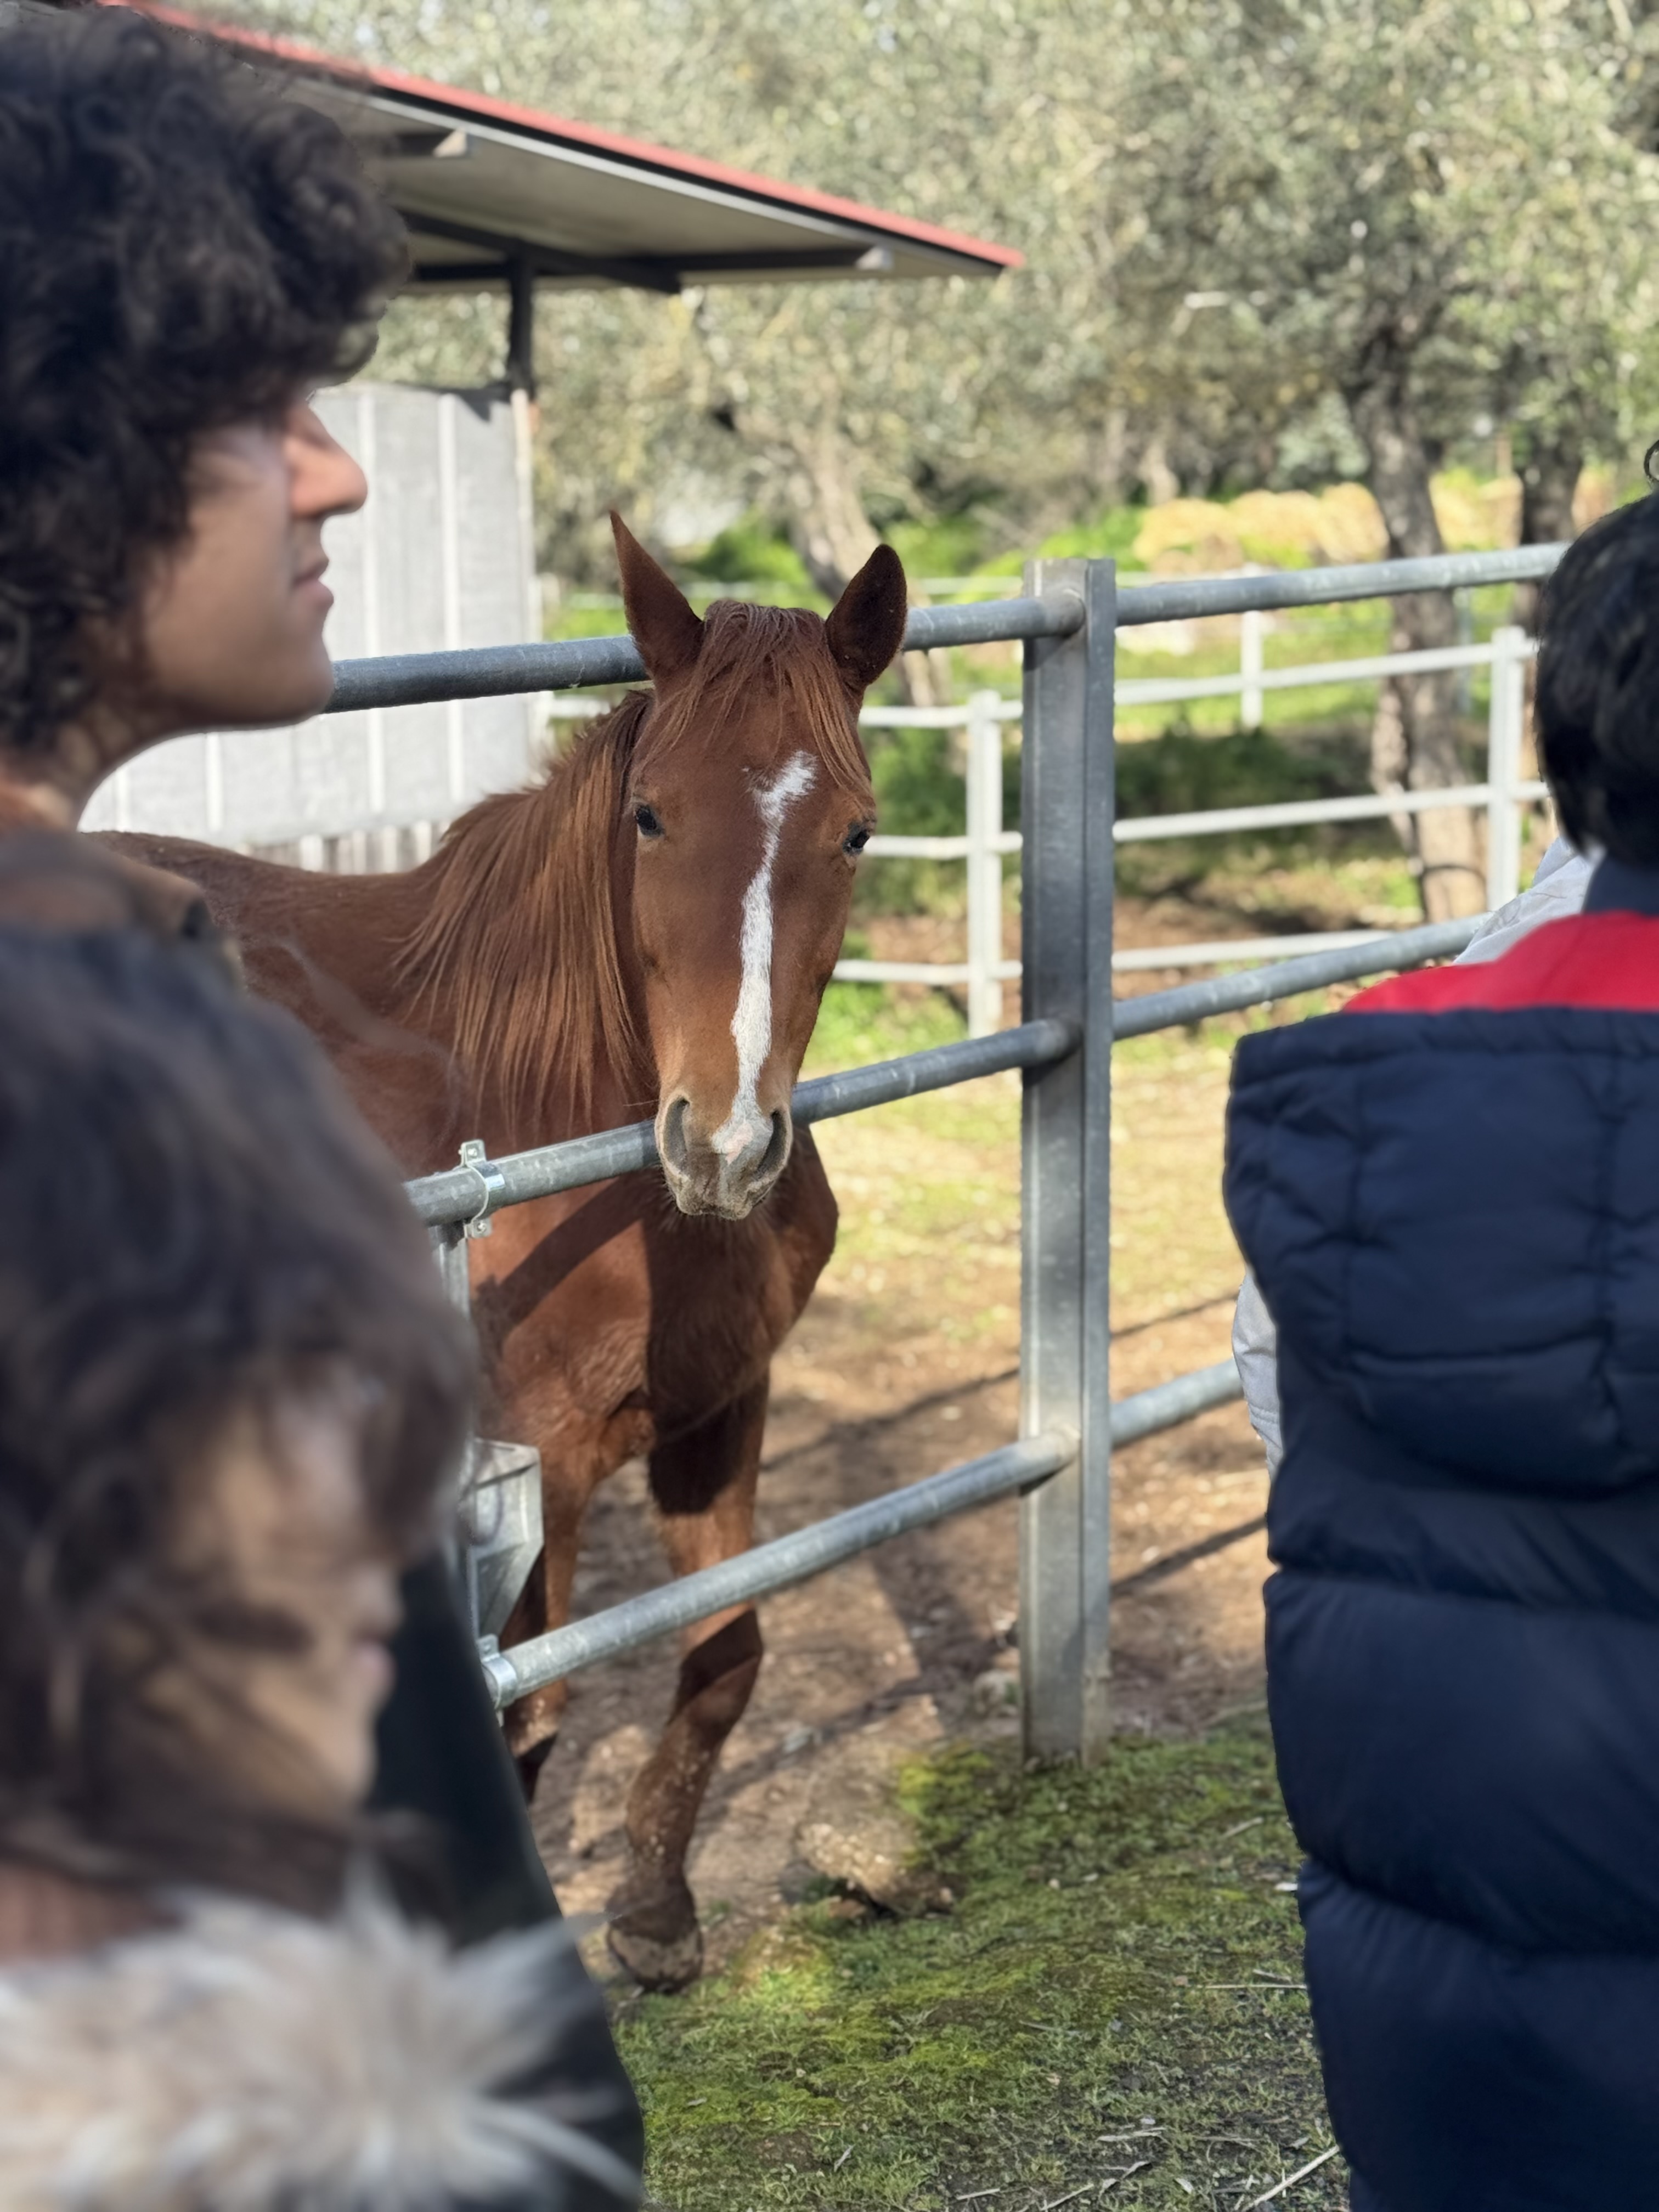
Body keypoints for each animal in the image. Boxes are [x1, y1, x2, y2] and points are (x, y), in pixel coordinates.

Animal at [97, 517, 908, 1989]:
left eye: (857, 830)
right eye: (651, 815)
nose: (725, 1141)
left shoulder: (722, 1411)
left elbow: (727, 1653)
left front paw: (655, 1908)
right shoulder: (542, 1463)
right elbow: (536, 1711)